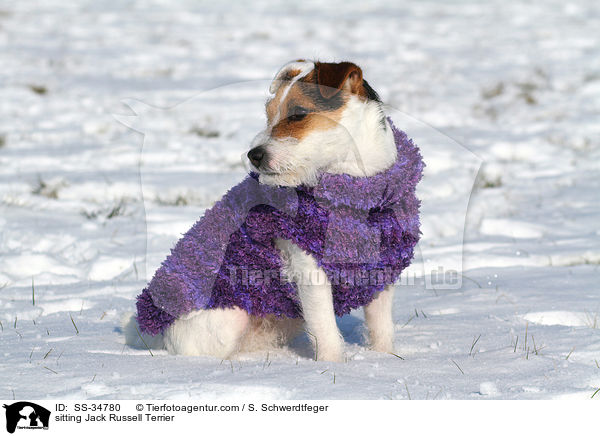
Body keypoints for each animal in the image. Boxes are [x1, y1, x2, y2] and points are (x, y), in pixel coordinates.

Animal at [123, 59, 422, 362]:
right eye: (268, 115)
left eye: (298, 113)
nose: (253, 155)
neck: (358, 190)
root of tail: (156, 331)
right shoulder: (309, 268)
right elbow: (325, 328)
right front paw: (333, 364)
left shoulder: (382, 268)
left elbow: (381, 326)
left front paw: (385, 358)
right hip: (229, 316)